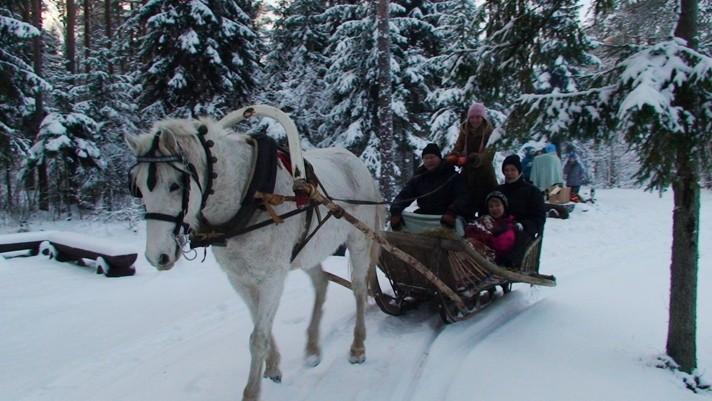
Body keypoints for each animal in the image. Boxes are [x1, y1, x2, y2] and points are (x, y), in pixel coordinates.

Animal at [125, 106, 386, 400]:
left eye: (174, 185)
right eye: (138, 188)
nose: (157, 256)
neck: (251, 197)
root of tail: (355, 161)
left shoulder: (272, 277)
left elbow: (258, 336)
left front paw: (251, 391)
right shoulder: (239, 278)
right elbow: (260, 324)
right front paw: (272, 366)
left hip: (359, 240)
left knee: (359, 289)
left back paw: (357, 347)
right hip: (308, 251)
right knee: (321, 283)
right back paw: (312, 349)